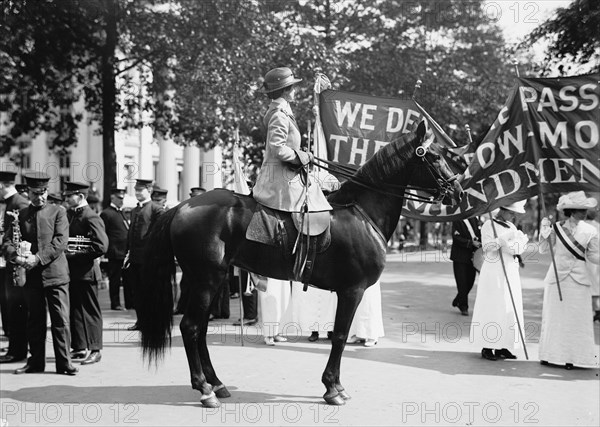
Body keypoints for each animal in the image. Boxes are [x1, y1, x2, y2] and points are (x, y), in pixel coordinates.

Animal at [139, 120, 464, 408]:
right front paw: (333, 388)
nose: (458, 192)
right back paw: (205, 390)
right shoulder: (352, 291)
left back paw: (217, 384)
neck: (361, 212)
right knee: (191, 327)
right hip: (207, 279)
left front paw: (335, 385)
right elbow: (340, 336)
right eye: (435, 157)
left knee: (201, 329)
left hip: (207, 280)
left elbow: (339, 335)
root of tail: (180, 207)